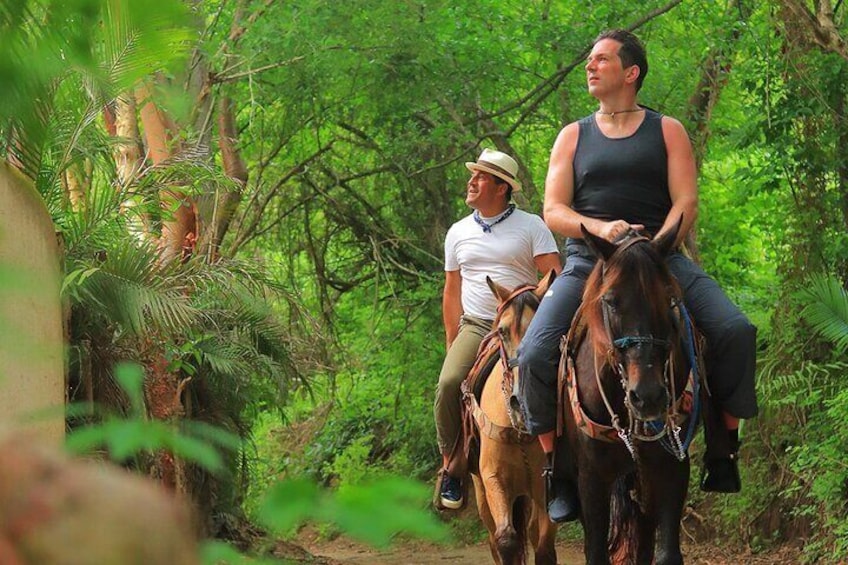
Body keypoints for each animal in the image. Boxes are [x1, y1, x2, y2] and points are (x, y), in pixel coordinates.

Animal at [464, 270, 556, 560]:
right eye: (502, 331)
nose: (521, 401)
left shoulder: (546, 485)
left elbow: (544, 546)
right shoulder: (494, 479)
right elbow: (506, 540)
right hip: (481, 492)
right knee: (495, 538)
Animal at [564, 221, 704, 564]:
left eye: (669, 298)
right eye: (611, 301)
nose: (649, 396)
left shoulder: (671, 466)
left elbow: (667, 554)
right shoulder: (591, 477)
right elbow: (595, 552)